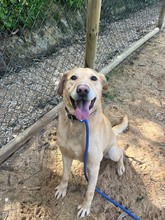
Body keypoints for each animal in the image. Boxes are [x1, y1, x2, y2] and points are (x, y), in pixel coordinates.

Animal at [55, 68, 127, 217]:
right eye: (73, 77)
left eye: (94, 78)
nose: (82, 90)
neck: (79, 123)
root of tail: (112, 132)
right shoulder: (66, 156)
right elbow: (65, 176)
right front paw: (62, 189)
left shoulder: (94, 167)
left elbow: (90, 191)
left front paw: (85, 207)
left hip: (112, 152)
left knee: (121, 151)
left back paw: (120, 167)